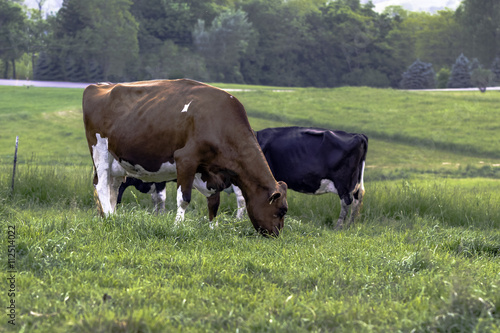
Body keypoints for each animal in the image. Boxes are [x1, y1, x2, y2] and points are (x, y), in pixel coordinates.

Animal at [80, 79, 288, 235]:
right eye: (282, 210)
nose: (276, 235)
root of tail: (99, 86)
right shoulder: (186, 159)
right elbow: (184, 198)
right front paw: (177, 226)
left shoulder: (210, 173)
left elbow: (214, 201)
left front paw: (213, 228)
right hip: (100, 150)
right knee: (101, 185)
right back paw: (110, 217)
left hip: (117, 162)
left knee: (113, 188)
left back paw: (112, 216)